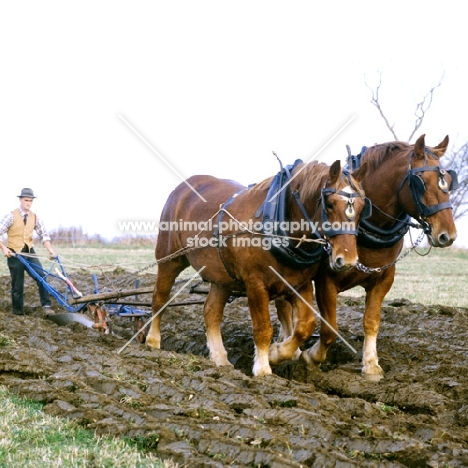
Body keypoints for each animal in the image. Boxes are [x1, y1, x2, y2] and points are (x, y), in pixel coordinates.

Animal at [146, 160, 370, 376]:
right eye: (329, 204)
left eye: (361, 208)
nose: (347, 260)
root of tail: (181, 189)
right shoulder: (255, 284)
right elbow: (263, 328)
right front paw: (263, 368)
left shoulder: (300, 284)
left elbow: (305, 325)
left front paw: (278, 353)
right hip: (169, 260)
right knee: (160, 298)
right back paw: (152, 342)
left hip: (222, 278)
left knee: (211, 311)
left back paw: (220, 359)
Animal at [276, 134, 458, 380]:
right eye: (422, 182)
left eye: (448, 179)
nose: (448, 235)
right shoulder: (326, 280)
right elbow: (329, 328)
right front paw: (311, 356)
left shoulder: (384, 278)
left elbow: (371, 321)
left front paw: (371, 365)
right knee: (283, 305)